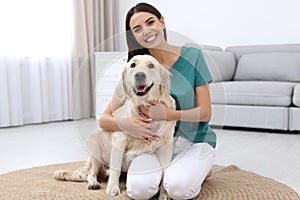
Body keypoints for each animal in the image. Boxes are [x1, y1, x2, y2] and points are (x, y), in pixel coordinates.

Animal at [54, 54, 176, 198]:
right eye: (132, 65)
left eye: (151, 65)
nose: (139, 75)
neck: (145, 106)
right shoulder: (119, 140)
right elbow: (115, 169)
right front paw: (112, 188)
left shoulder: (165, 147)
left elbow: (165, 172)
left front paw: (164, 194)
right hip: (95, 146)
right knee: (91, 173)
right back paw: (93, 183)